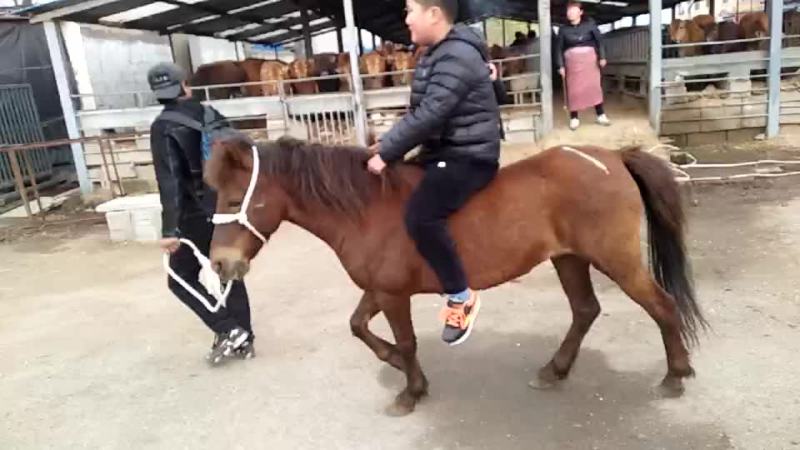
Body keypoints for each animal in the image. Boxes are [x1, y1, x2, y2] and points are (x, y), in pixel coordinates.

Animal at [205, 132, 707, 417]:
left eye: (231, 200)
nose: (220, 264)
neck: (365, 209)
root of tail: (614, 157)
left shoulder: (393, 294)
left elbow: (406, 341)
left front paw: (410, 391)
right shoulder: (379, 289)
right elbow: (358, 326)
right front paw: (396, 365)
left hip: (616, 261)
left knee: (662, 306)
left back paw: (675, 375)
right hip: (568, 259)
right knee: (585, 310)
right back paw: (554, 370)